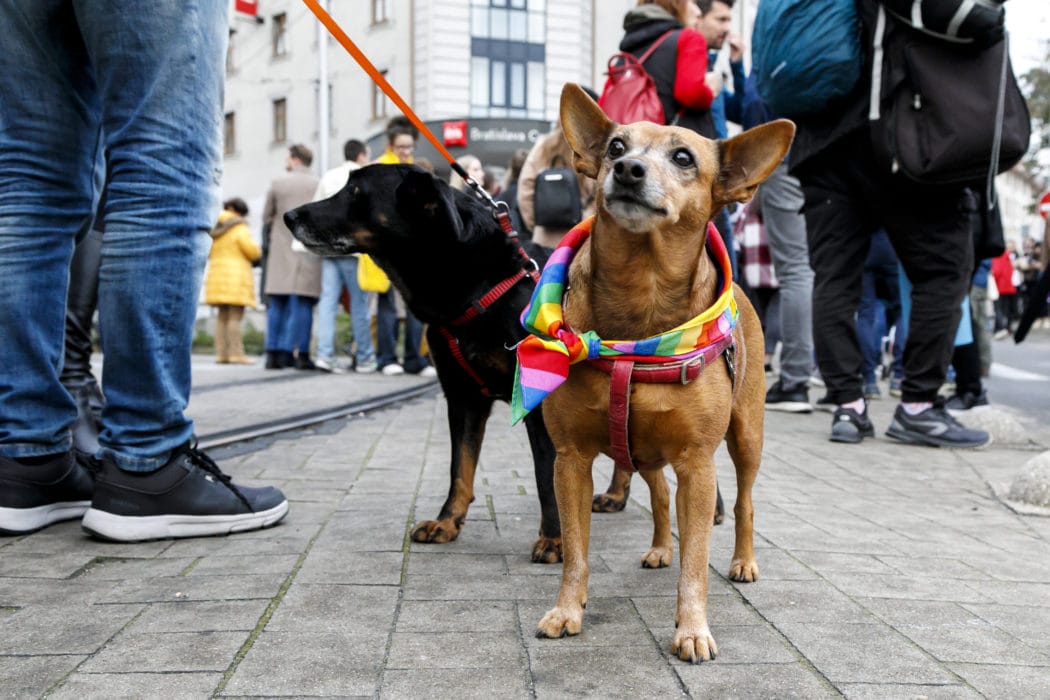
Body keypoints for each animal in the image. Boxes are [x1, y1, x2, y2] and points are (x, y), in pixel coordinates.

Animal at [283, 164, 562, 562]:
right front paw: (447, 521)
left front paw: (554, 538)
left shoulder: (537, 401)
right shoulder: (463, 398)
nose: (289, 216)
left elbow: (545, 474)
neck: (478, 286)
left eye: (354, 191)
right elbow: (459, 467)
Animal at [537, 85, 789, 659]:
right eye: (615, 146)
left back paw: (743, 561)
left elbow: (696, 561)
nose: (627, 169)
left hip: (748, 437)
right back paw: (658, 548)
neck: (641, 303)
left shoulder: (698, 464)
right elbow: (576, 551)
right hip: (645, 450)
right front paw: (567, 609)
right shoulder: (570, 460)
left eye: (683, 158)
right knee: (657, 496)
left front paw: (692, 628)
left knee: (744, 502)